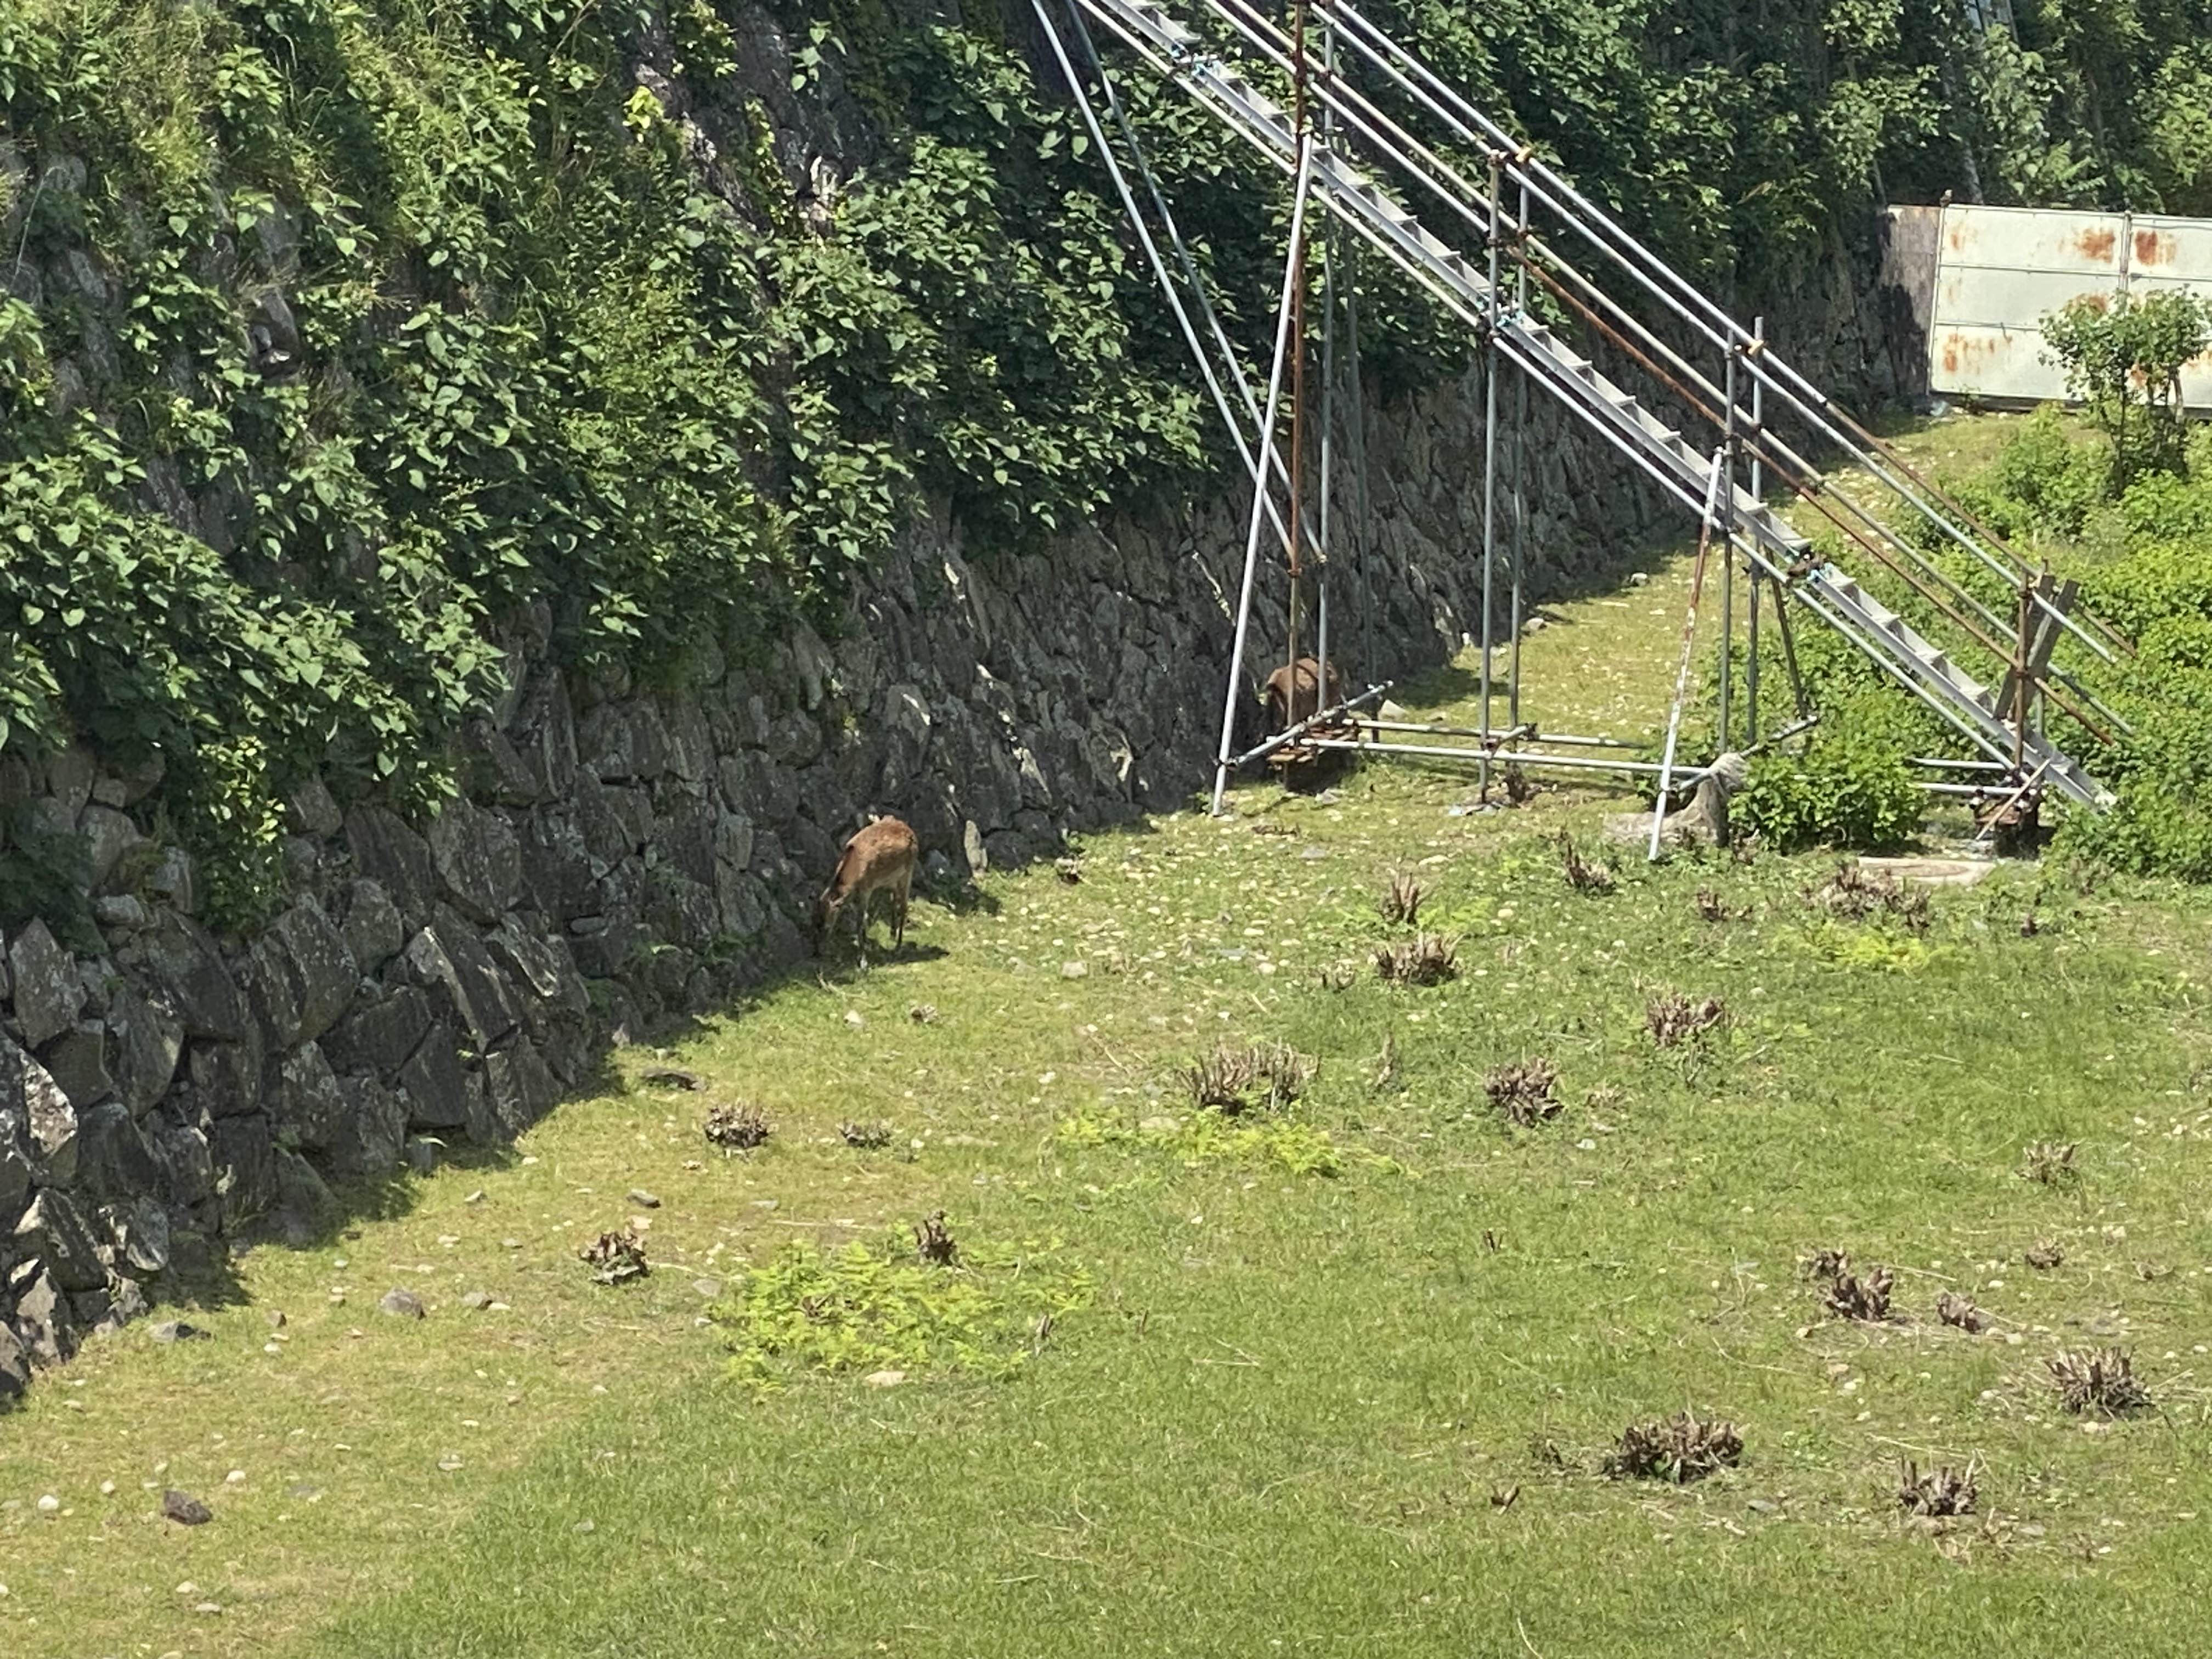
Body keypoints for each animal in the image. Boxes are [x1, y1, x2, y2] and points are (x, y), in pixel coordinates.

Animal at [817, 815, 920, 964]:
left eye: (826, 928)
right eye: (814, 922)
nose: (817, 952)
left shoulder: (867, 888)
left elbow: (861, 921)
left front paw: (863, 960)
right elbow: (861, 919)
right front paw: (865, 944)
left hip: (908, 872)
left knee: (904, 906)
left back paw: (899, 946)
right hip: (893, 878)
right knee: (894, 899)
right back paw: (892, 934)